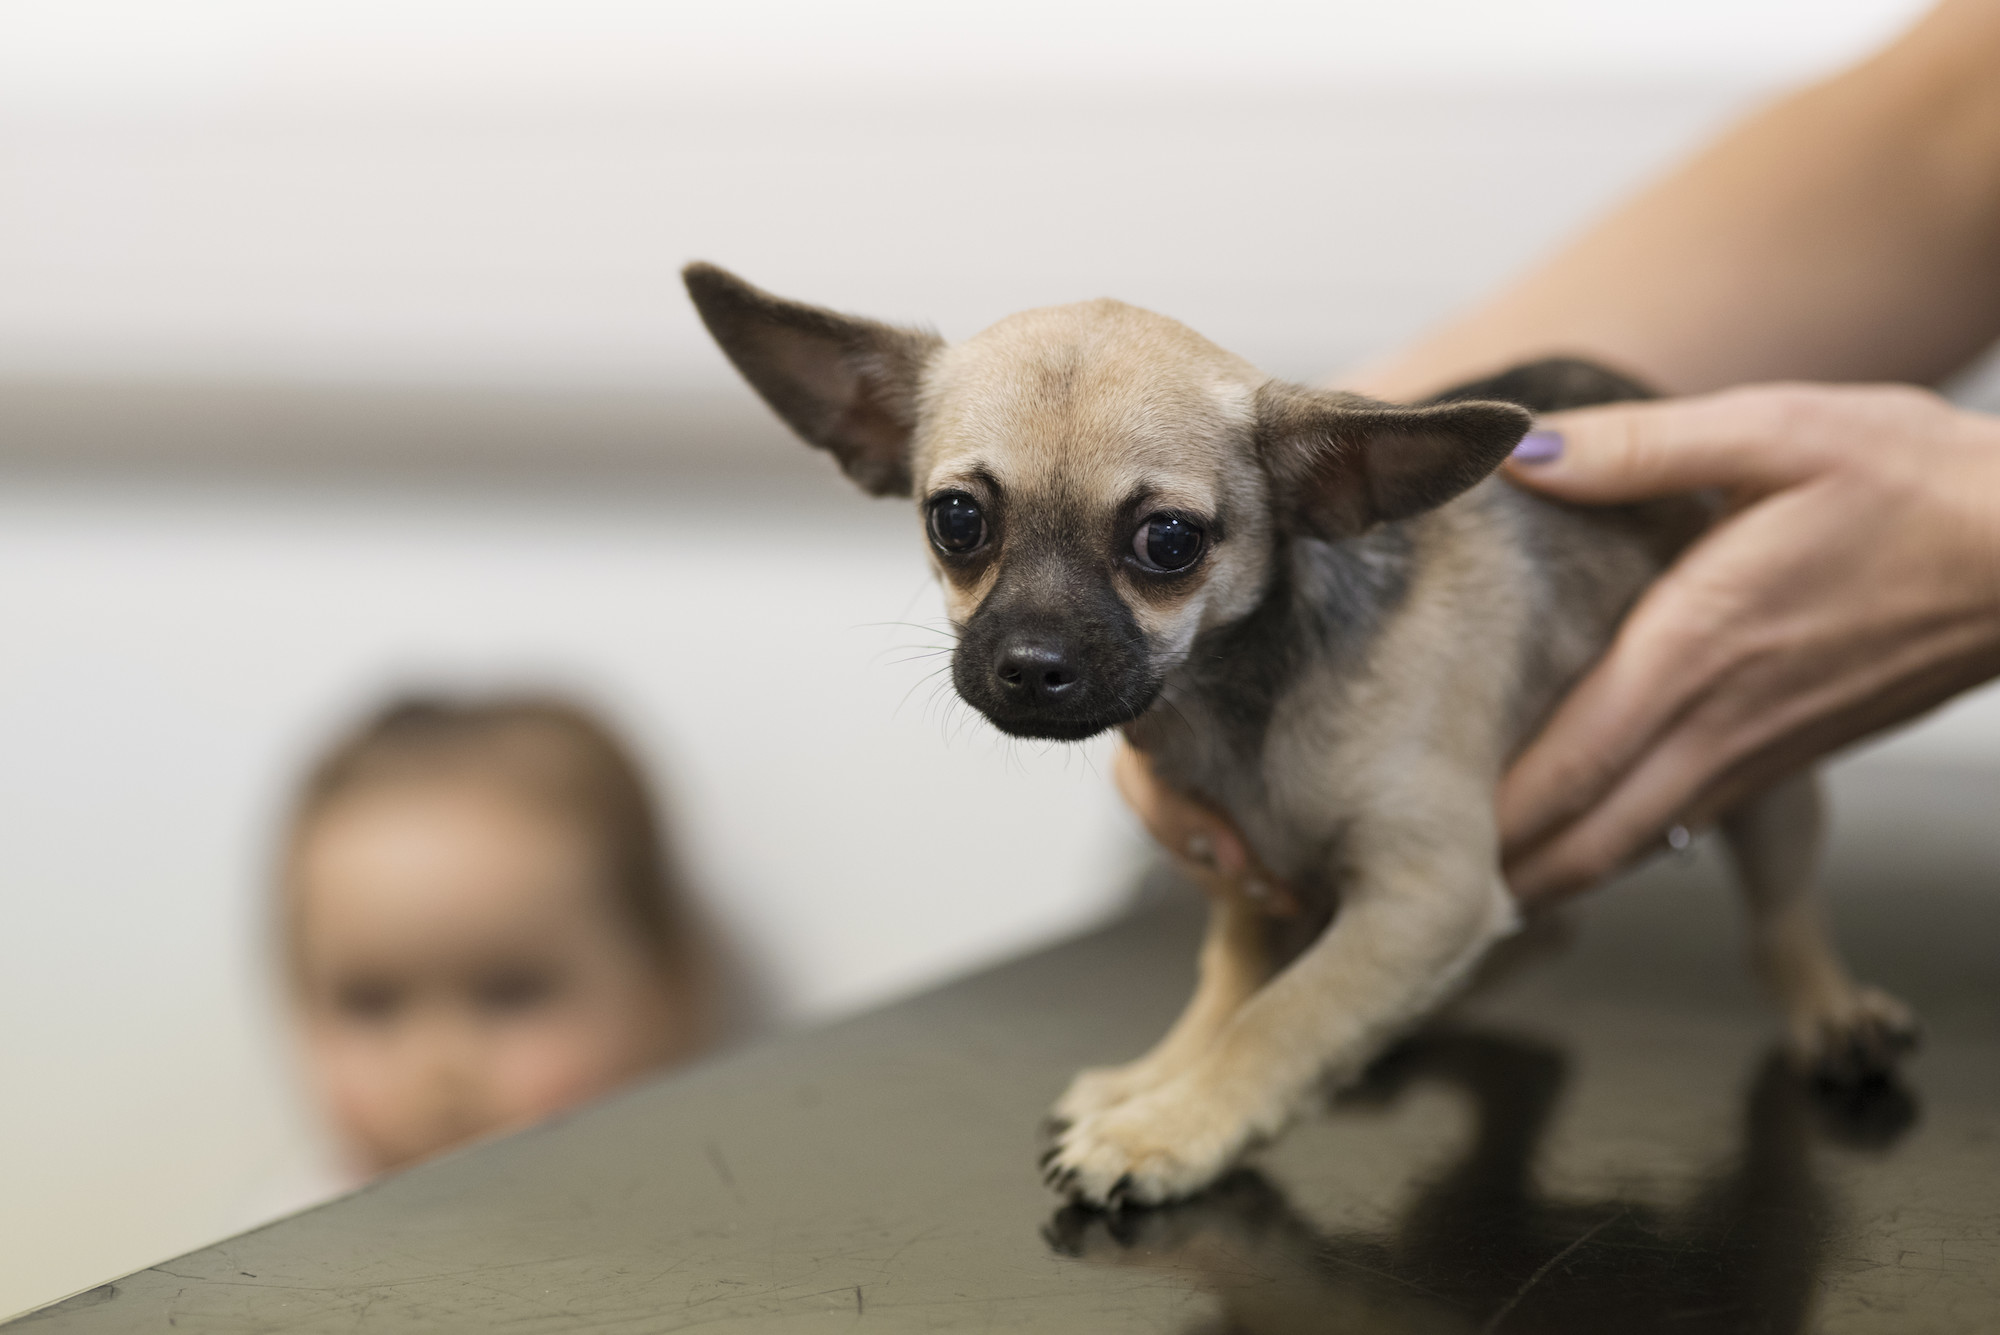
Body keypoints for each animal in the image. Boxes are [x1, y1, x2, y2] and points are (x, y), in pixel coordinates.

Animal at [688, 263, 1920, 1207]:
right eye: (956, 522)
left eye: (1168, 542)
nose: (1030, 666)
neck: (1234, 712)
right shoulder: (1246, 883)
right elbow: (1230, 993)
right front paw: (1157, 1081)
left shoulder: (1426, 892)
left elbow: (1281, 1017)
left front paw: (1167, 1130)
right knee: (1536, 931)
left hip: (1767, 785)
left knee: (1778, 919)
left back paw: (1831, 1013)